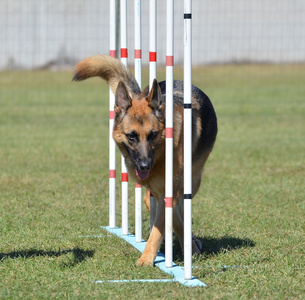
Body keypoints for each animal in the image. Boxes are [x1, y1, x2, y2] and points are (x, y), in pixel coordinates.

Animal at [73, 55, 216, 266]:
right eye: (131, 136)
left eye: (153, 135)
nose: (144, 166)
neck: (160, 154)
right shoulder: (161, 191)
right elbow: (170, 218)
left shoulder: (170, 190)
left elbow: (164, 224)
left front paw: (148, 258)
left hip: (194, 180)